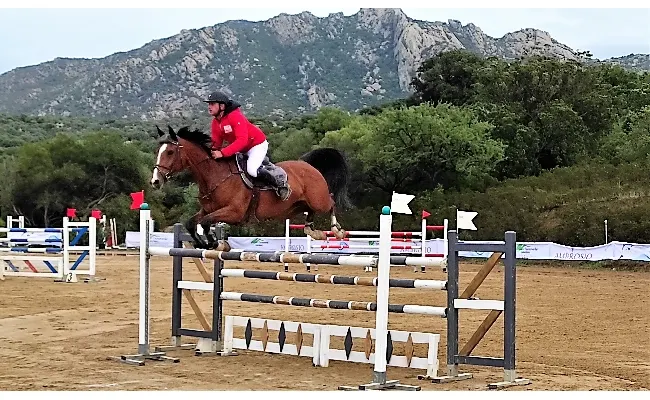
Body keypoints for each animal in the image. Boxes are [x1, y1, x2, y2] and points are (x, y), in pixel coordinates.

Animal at [150, 125, 352, 249]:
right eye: (158, 151)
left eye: (170, 152)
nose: (155, 181)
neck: (215, 176)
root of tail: (309, 166)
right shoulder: (207, 210)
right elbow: (191, 223)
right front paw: (203, 244)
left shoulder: (234, 212)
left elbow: (206, 223)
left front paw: (216, 244)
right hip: (296, 206)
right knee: (310, 212)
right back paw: (312, 230)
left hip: (319, 200)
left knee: (331, 202)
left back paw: (336, 230)